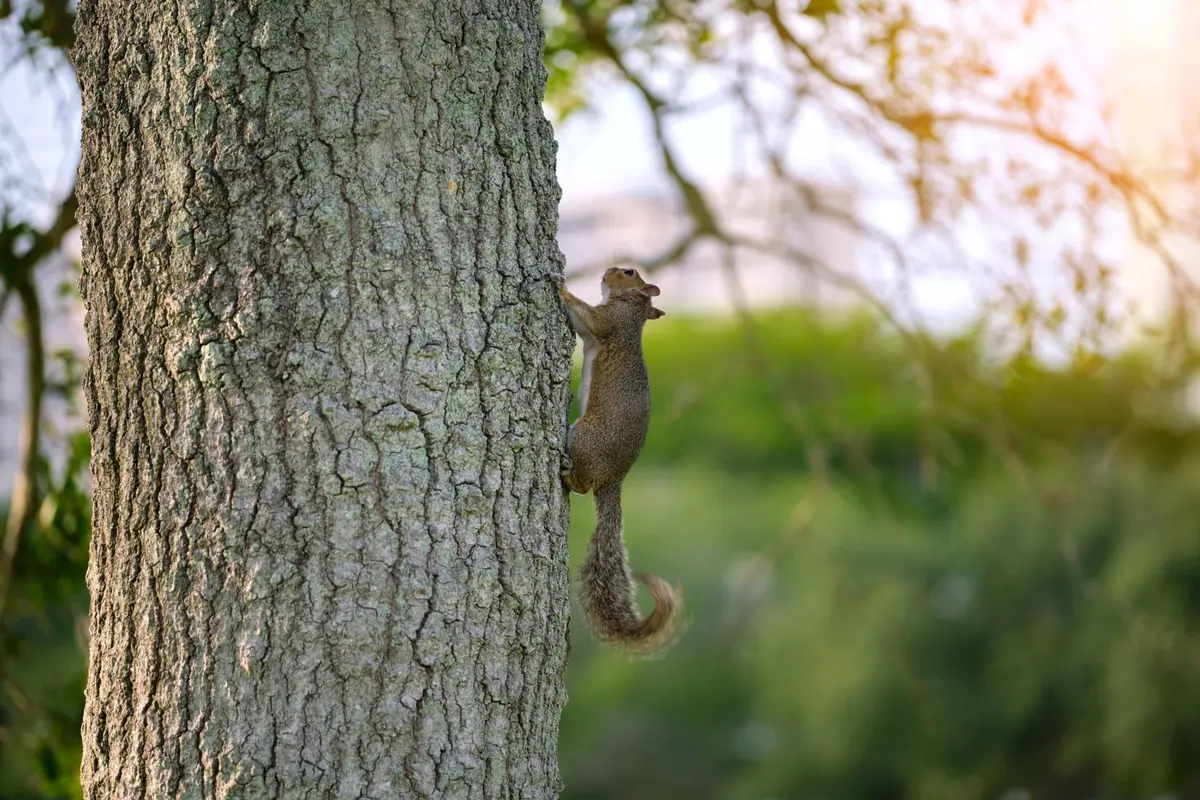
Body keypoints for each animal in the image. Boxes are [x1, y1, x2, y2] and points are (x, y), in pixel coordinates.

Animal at [554, 266, 681, 652]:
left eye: (628, 272)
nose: (607, 270)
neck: (634, 312)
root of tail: (615, 478)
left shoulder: (610, 323)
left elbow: (589, 318)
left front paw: (562, 287)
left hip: (581, 437)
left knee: (582, 485)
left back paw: (567, 473)